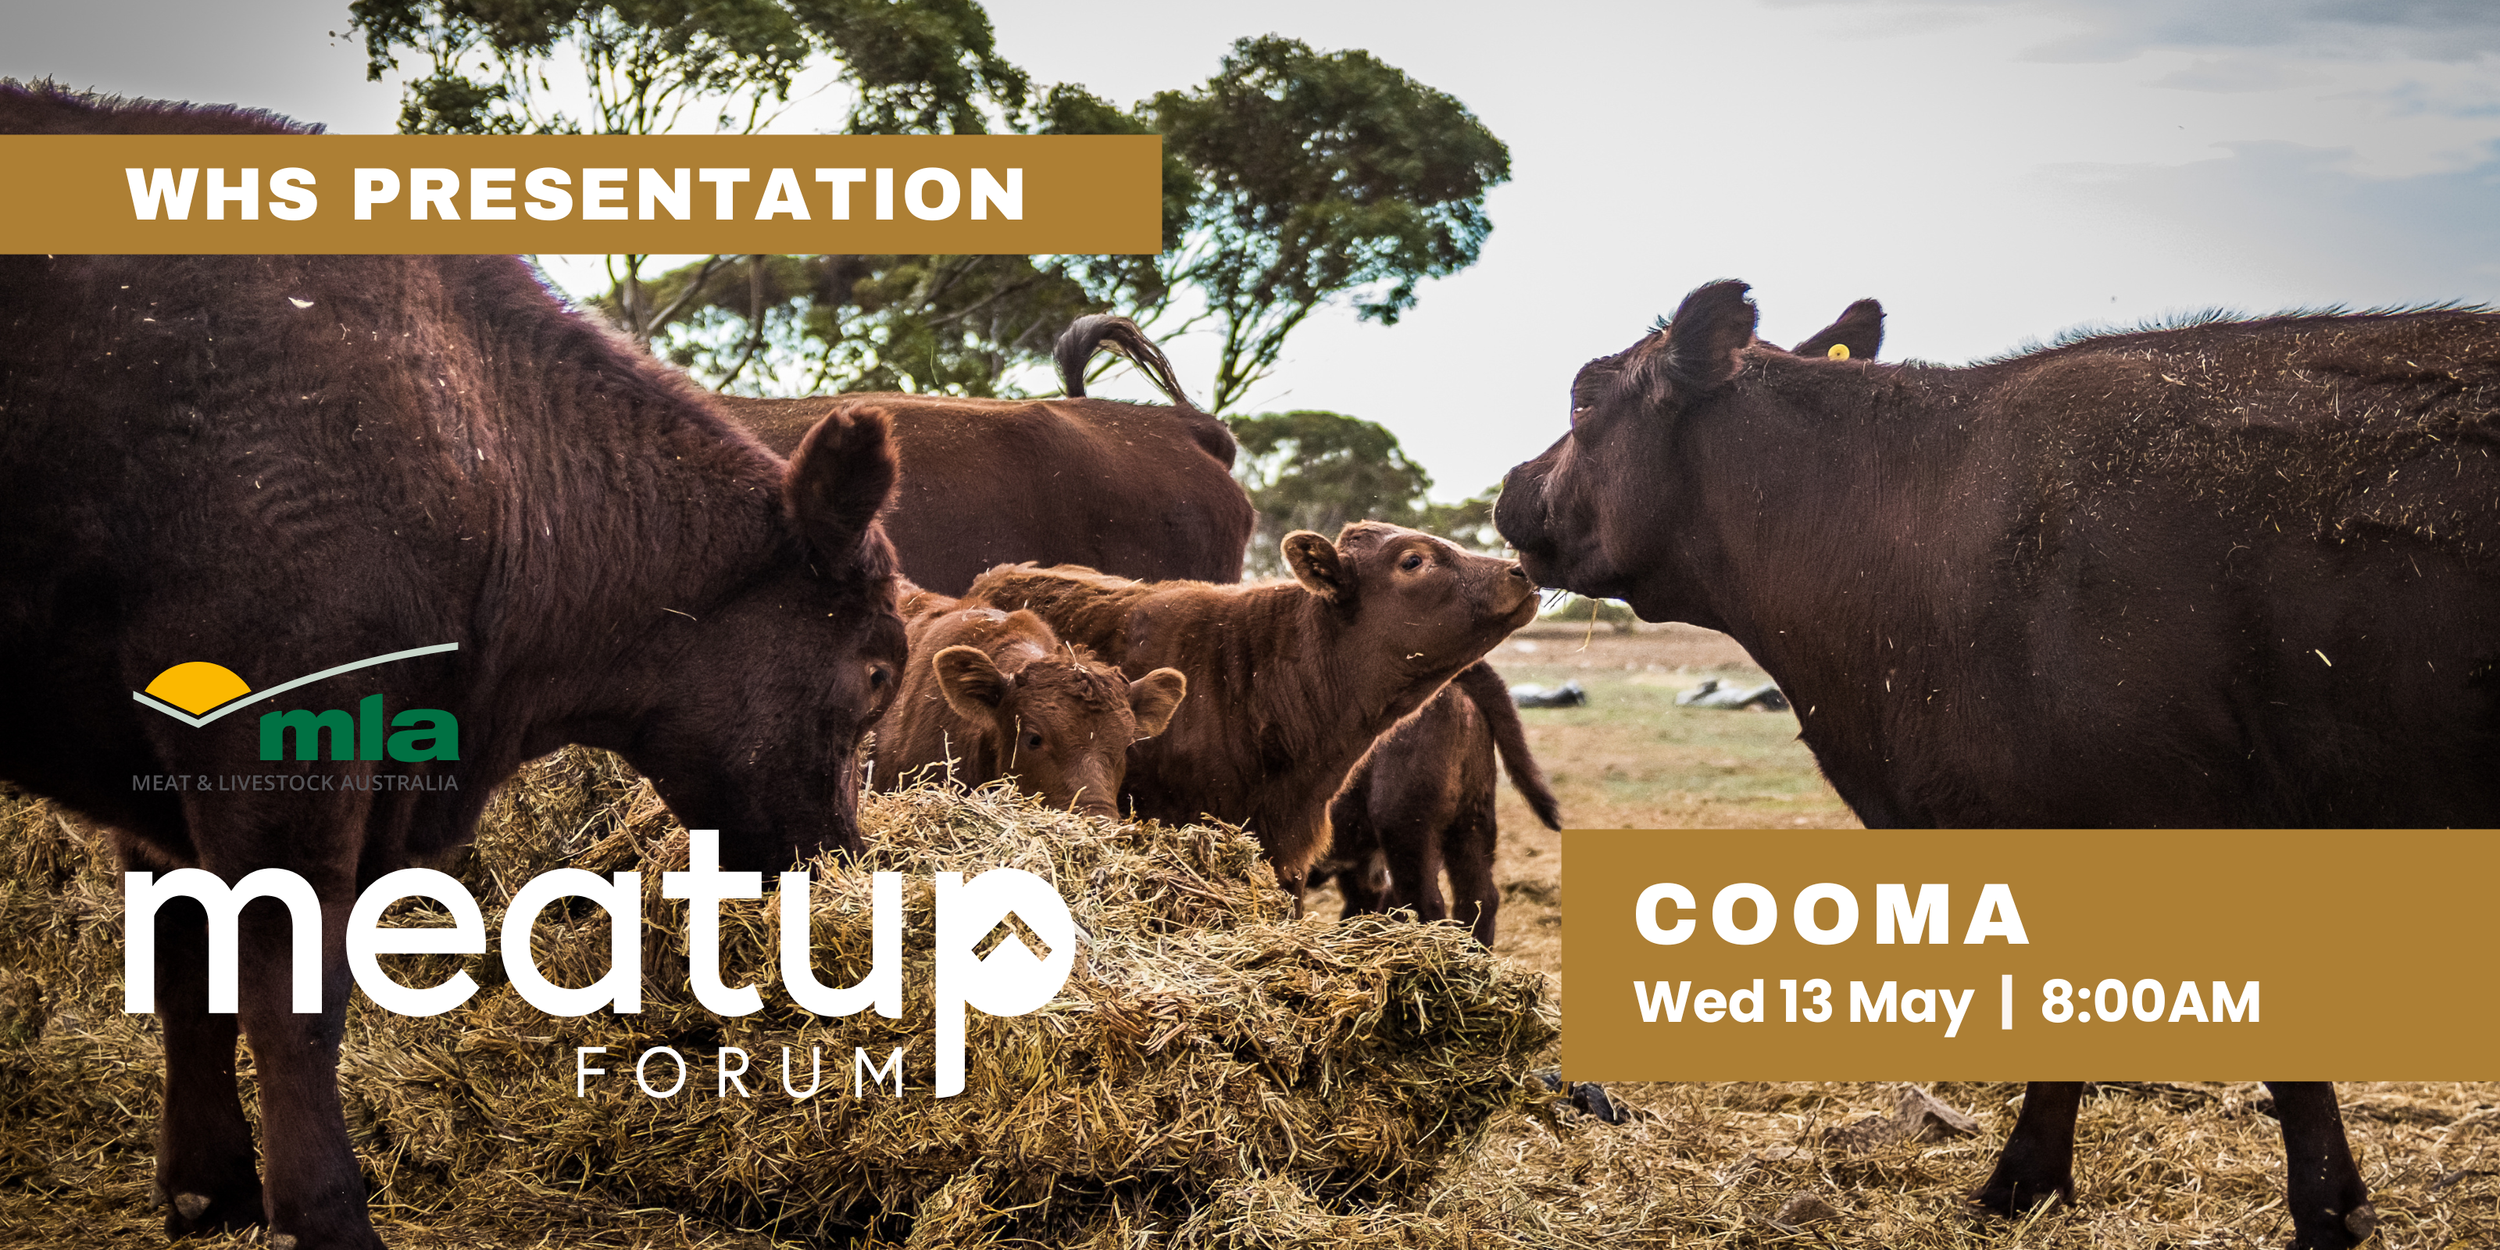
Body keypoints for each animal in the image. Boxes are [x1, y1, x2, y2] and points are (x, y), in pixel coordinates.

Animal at [0, 84, 909, 1250]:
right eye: (877, 670)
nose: (837, 859)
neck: (473, 436)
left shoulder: (167, 788)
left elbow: (188, 976)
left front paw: (210, 1188)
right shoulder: (282, 762)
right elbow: (288, 994)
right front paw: (328, 1213)